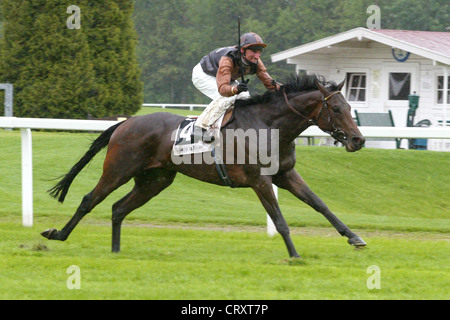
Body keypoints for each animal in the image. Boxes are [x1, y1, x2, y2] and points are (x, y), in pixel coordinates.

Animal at [41, 74, 366, 258]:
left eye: (350, 107)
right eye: (335, 108)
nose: (358, 140)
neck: (270, 125)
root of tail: (125, 123)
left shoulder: (285, 174)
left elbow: (320, 205)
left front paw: (354, 237)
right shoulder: (260, 180)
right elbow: (280, 220)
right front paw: (295, 255)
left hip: (155, 180)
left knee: (118, 208)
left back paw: (116, 251)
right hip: (118, 170)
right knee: (89, 200)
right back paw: (56, 235)